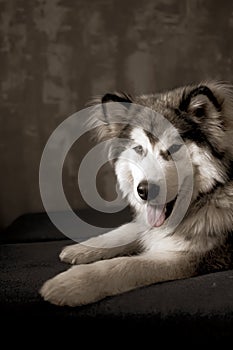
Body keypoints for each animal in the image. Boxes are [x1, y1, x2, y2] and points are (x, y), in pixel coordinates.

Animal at [39, 81, 233, 306]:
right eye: (139, 149)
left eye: (175, 148)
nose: (145, 191)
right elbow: (127, 230)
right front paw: (84, 247)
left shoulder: (191, 256)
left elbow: (127, 265)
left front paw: (72, 283)